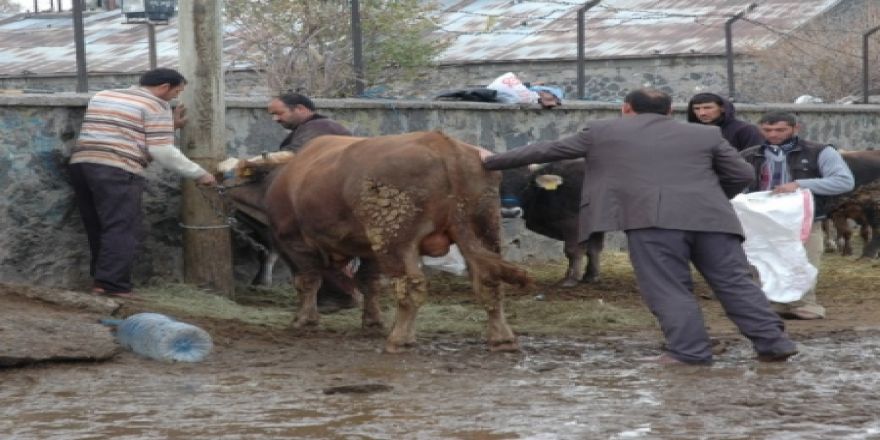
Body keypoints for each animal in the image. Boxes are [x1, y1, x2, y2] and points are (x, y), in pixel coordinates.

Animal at [264, 131, 528, 354]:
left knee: (410, 286)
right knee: (489, 281)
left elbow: (307, 282)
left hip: (394, 239)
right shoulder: (368, 249)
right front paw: (372, 321)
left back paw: (399, 339)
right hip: (483, 229)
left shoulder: (293, 242)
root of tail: (443, 145)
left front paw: (304, 320)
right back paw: (502, 338)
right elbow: (369, 283)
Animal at [502, 160, 604, 288]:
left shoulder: (574, 225)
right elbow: (593, 249)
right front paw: (591, 276)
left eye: (526, 185)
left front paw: (570, 279)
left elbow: (573, 250)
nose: (509, 212)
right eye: (499, 184)